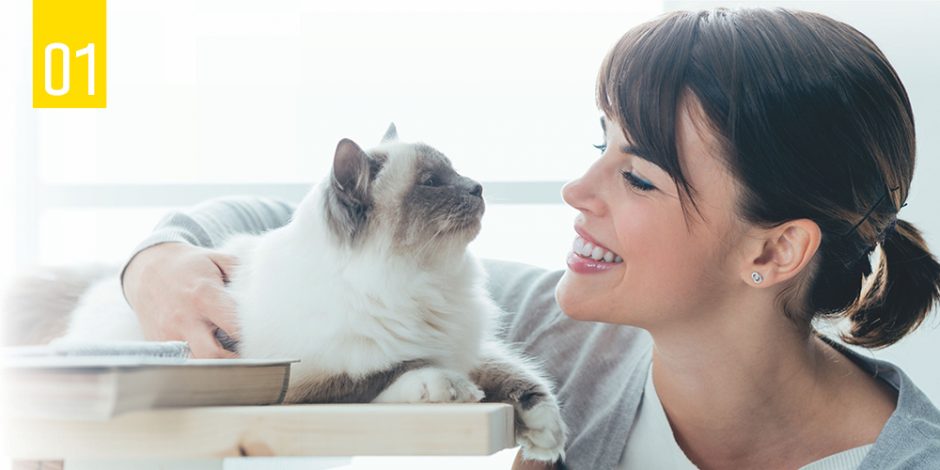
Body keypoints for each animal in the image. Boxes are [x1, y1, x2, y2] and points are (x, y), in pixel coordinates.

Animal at [3, 124, 567, 463]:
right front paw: (447, 387)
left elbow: (513, 374)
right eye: (432, 182)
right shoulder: (305, 383)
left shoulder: (465, 345)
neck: (422, 284)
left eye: (455, 172)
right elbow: (389, 373)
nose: (478, 187)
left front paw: (544, 429)